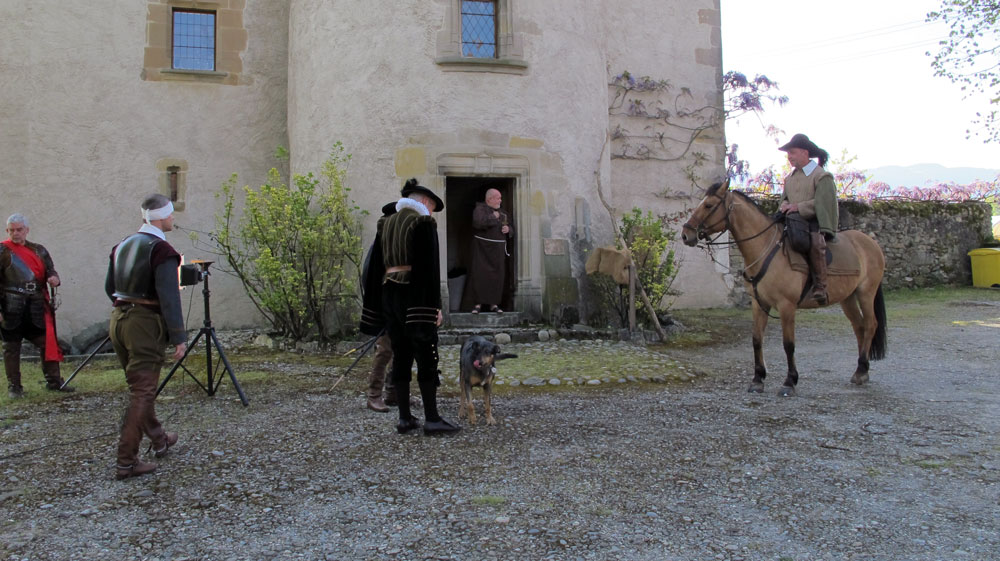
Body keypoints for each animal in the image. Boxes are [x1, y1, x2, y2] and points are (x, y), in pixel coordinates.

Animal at [680, 180, 887, 396]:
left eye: (708, 205)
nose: (686, 234)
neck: (766, 250)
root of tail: (870, 242)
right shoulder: (759, 304)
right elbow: (756, 339)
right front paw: (757, 379)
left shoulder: (787, 306)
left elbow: (788, 344)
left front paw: (789, 381)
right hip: (848, 298)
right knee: (859, 326)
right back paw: (861, 370)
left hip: (866, 293)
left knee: (870, 325)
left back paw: (862, 370)